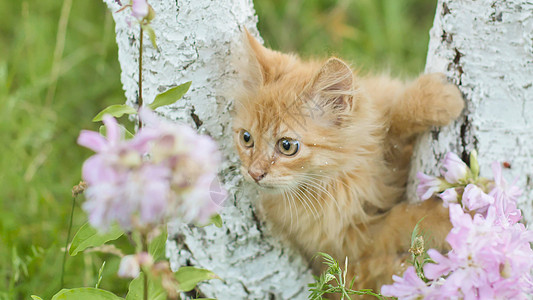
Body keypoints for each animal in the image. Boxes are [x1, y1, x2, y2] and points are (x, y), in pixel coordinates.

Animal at [231, 31, 464, 296]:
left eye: (287, 146)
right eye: (246, 138)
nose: (254, 173)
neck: (347, 173)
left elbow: (394, 118)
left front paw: (436, 98)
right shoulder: (351, 240)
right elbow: (401, 220)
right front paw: (448, 217)